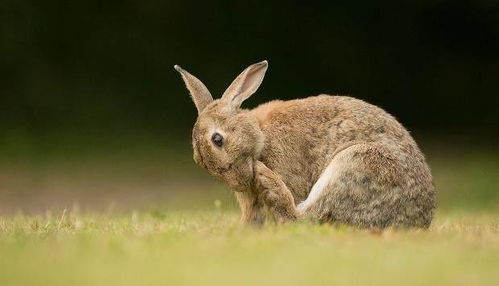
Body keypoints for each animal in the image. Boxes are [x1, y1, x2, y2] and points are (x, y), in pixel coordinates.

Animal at [175, 60, 434, 228]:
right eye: (198, 160)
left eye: (217, 139)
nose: (241, 183)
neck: (260, 137)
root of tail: (419, 220)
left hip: (358, 164)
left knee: (307, 219)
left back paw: (270, 183)